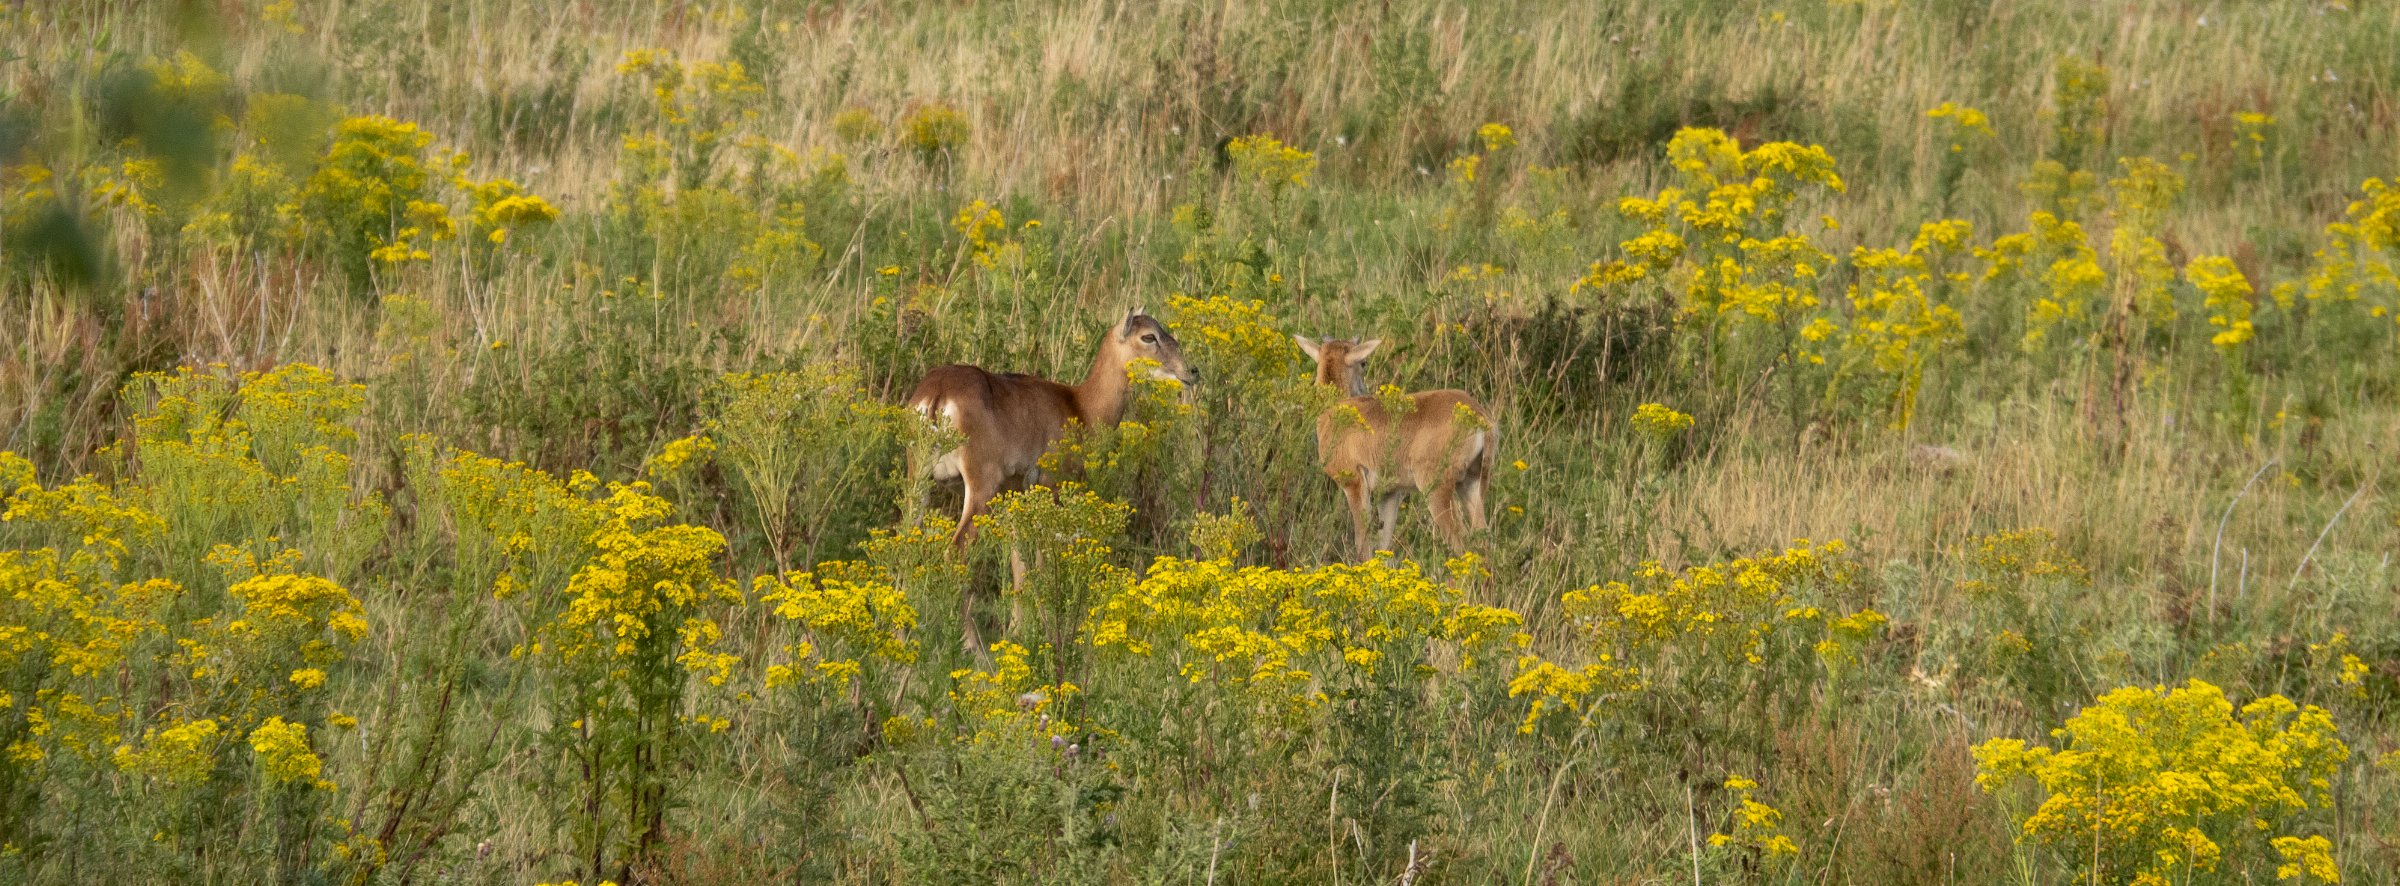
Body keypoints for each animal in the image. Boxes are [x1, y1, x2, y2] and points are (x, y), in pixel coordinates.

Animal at [1294, 336, 1494, 561]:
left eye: (1363, 362)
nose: (1363, 390)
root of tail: (1480, 417)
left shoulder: (1354, 484)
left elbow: (1362, 543)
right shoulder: (1390, 493)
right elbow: (1384, 544)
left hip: (1437, 488)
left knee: (1462, 544)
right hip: (1471, 484)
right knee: (1484, 543)